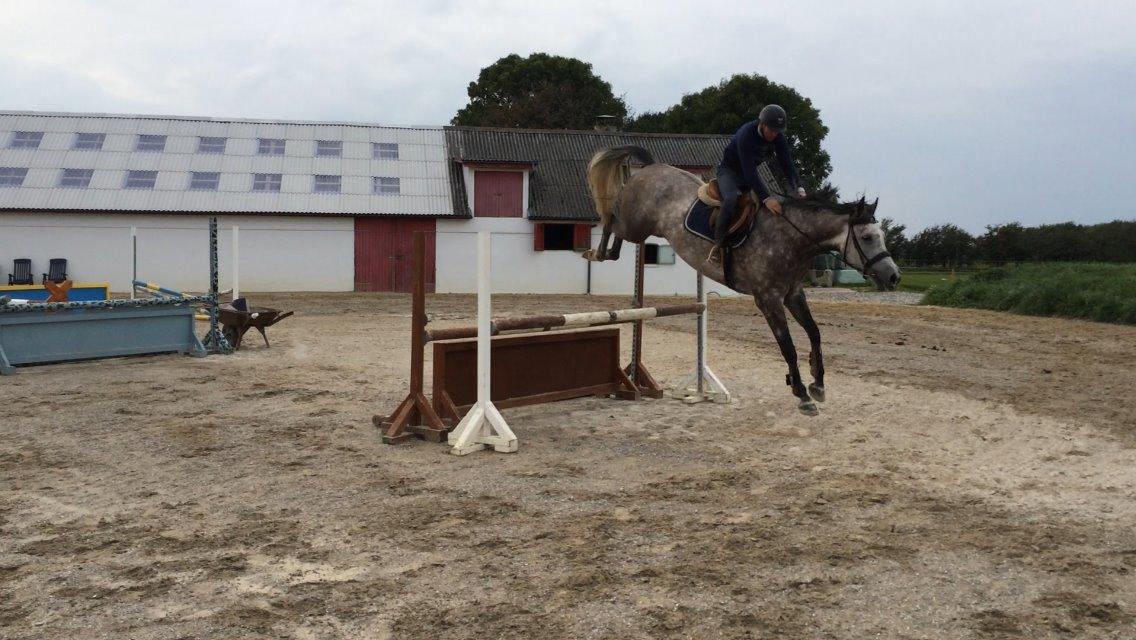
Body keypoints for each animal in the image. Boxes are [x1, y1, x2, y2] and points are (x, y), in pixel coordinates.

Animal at [581, 145, 899, 416]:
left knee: (617, 232)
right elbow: (788, 346)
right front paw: (802, 394)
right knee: (611, 219)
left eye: (880, 236)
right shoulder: (768, 300)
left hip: (644, 229)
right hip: (636, 223)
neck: (792, 238)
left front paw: (817, 384)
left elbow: (815, 333)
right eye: (867, 237)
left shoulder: (793, 295)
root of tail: (650, 167)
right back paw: (595, 252)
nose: (894, 276)